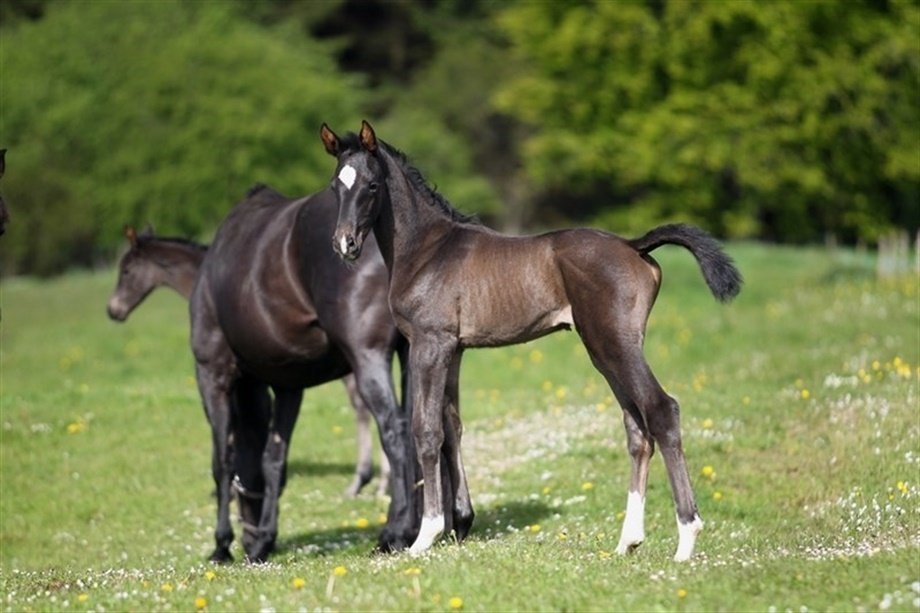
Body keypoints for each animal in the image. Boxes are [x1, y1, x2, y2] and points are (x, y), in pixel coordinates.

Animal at [188, 183, 419, 563]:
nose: (248, 538)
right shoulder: (288, 385)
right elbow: (273, 460)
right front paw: (265, 539)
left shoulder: (213, 375)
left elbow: (223, 460)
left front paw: (222, 544)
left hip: (368, 359)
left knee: (394, 430)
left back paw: (394, 533)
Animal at [320, 121, 742, 562]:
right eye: (335, 186)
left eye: (371, 185)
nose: (345, 244)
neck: (428, 250)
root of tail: (633, 245)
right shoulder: (454, 350)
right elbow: (452, 427)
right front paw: (460, 525)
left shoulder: (429, 344)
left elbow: (427, 430)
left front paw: (426, 534)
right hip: (605, 351)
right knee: (637, 428)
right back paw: (628, 540)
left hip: (615, 344)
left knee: (662, 410)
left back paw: (686, 539)